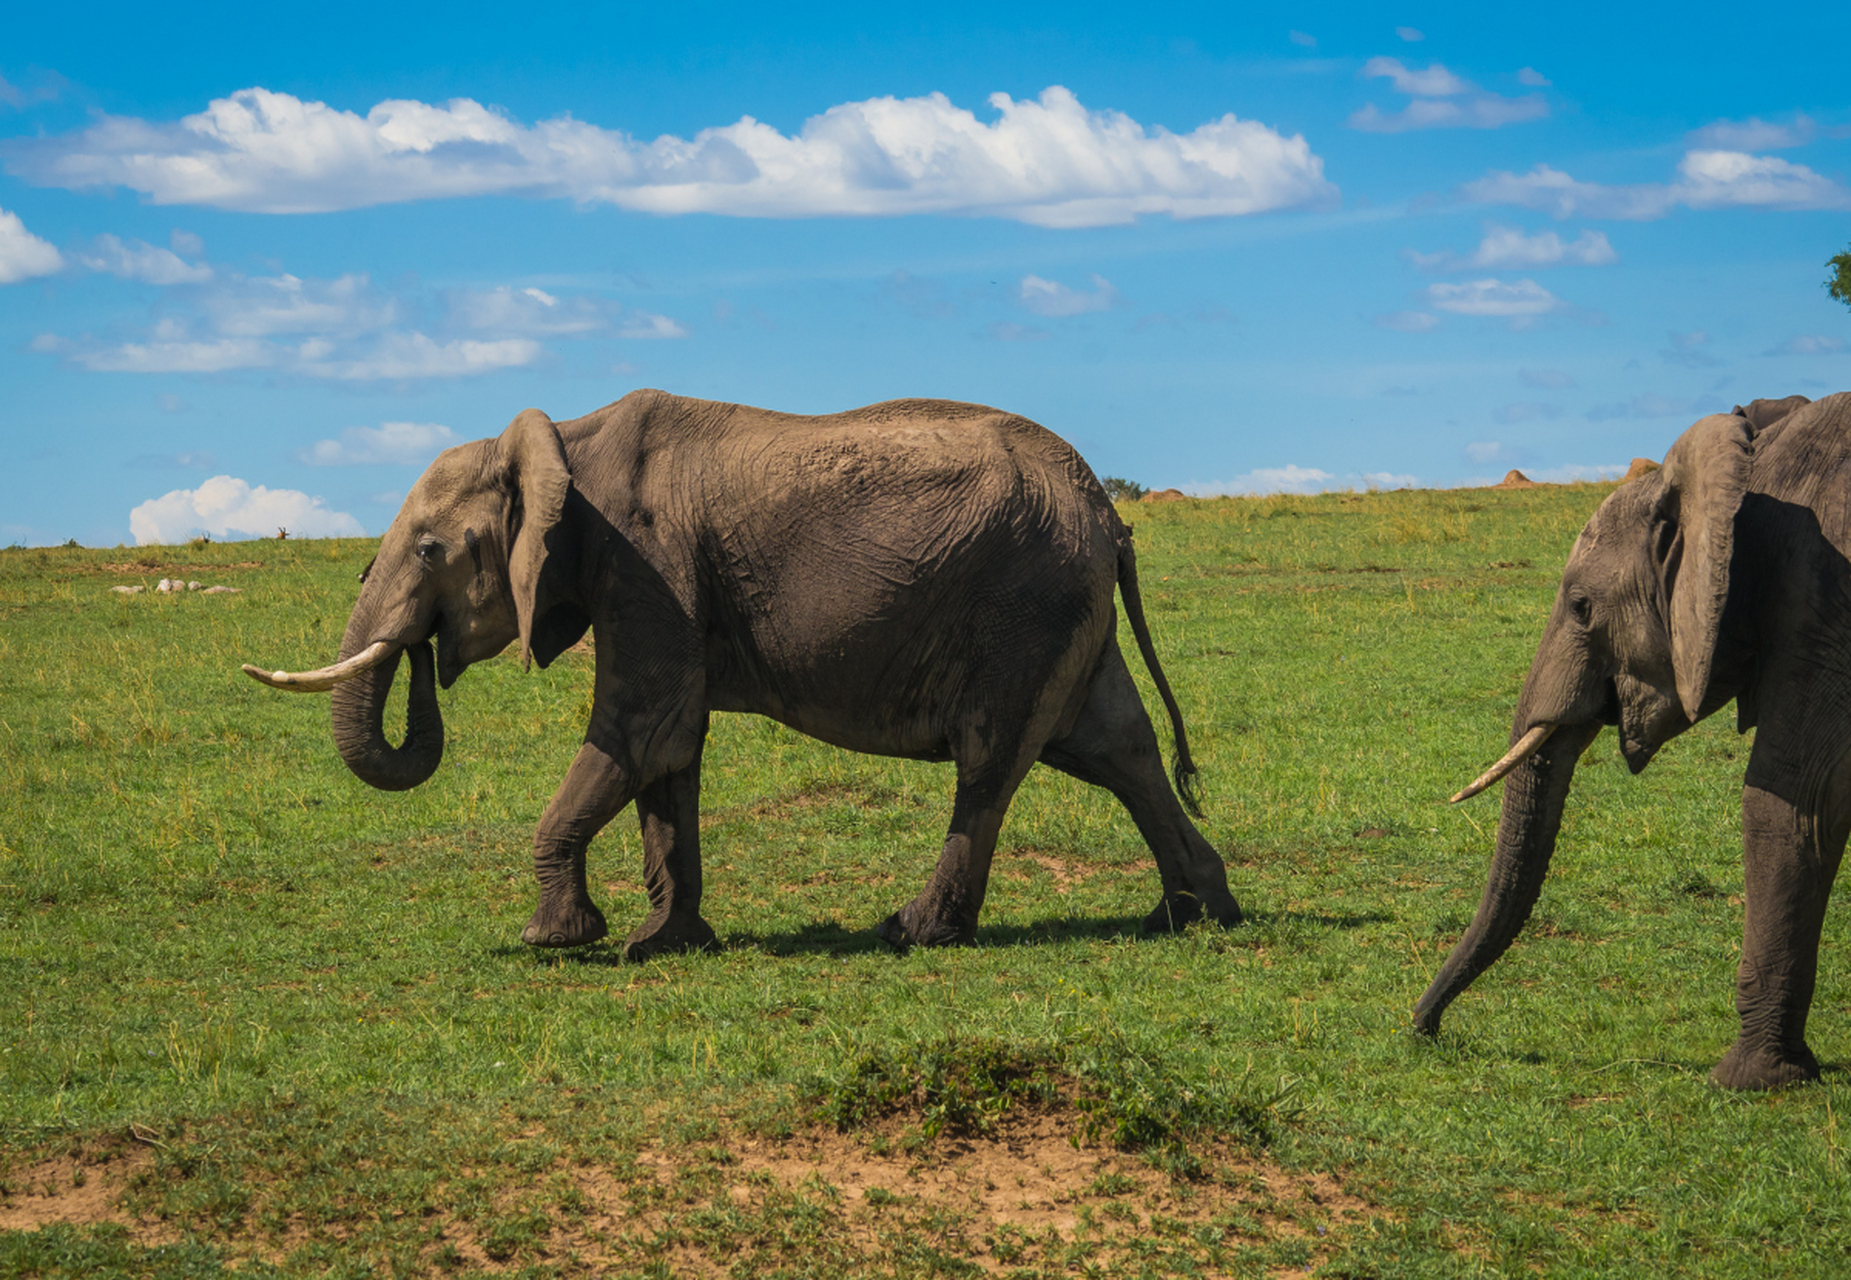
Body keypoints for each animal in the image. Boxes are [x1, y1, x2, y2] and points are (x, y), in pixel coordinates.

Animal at [238, 390, 1236, 961]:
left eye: (431, 550)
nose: (425, 652)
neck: (561, 442)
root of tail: (1107, 513)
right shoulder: (653, 583)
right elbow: (667, 758)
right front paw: (667, 944)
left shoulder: (647, 565)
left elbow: (641, 734)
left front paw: (555, 941)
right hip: (1060, 607)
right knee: (1115, 749)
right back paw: (1196, 915)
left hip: (1021, 602)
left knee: (991, 762)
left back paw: (913, 933)